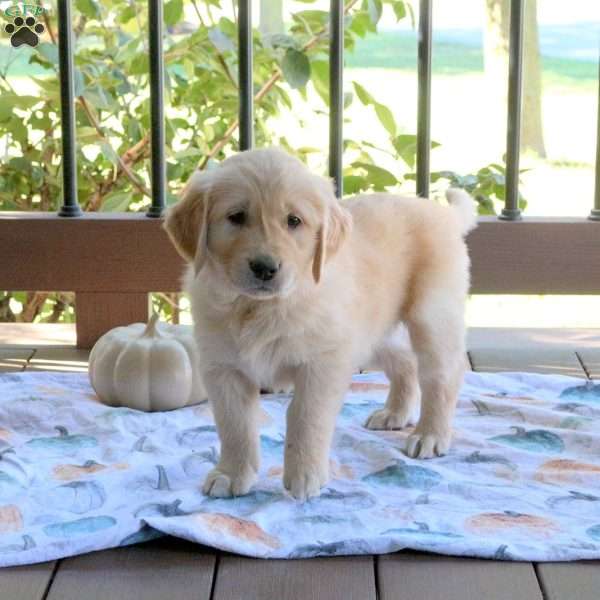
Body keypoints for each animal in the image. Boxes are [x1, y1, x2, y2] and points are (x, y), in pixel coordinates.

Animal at [162, 148, 476, 500]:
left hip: (432, 316)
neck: (259, 308)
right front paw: (231, 474)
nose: (265, 268)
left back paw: (430, 435)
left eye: (294, 221)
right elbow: (235, 425)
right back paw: (394, 414)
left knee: (443, 376)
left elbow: (305, 416)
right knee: (405, 362)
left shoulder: (323, 363)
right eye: (236, 216)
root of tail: (442, 214)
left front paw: (305, 474)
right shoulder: (223, 368)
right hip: (373, 333)